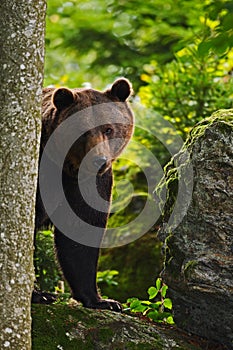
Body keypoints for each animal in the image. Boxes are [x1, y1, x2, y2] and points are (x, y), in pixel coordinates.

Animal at [34, 78, 133, 310]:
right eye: (82, 131)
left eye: (108, 129)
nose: (99, 161)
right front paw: (39, 294)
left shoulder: (89, 184)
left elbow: (80, 232)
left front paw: (102, 300)